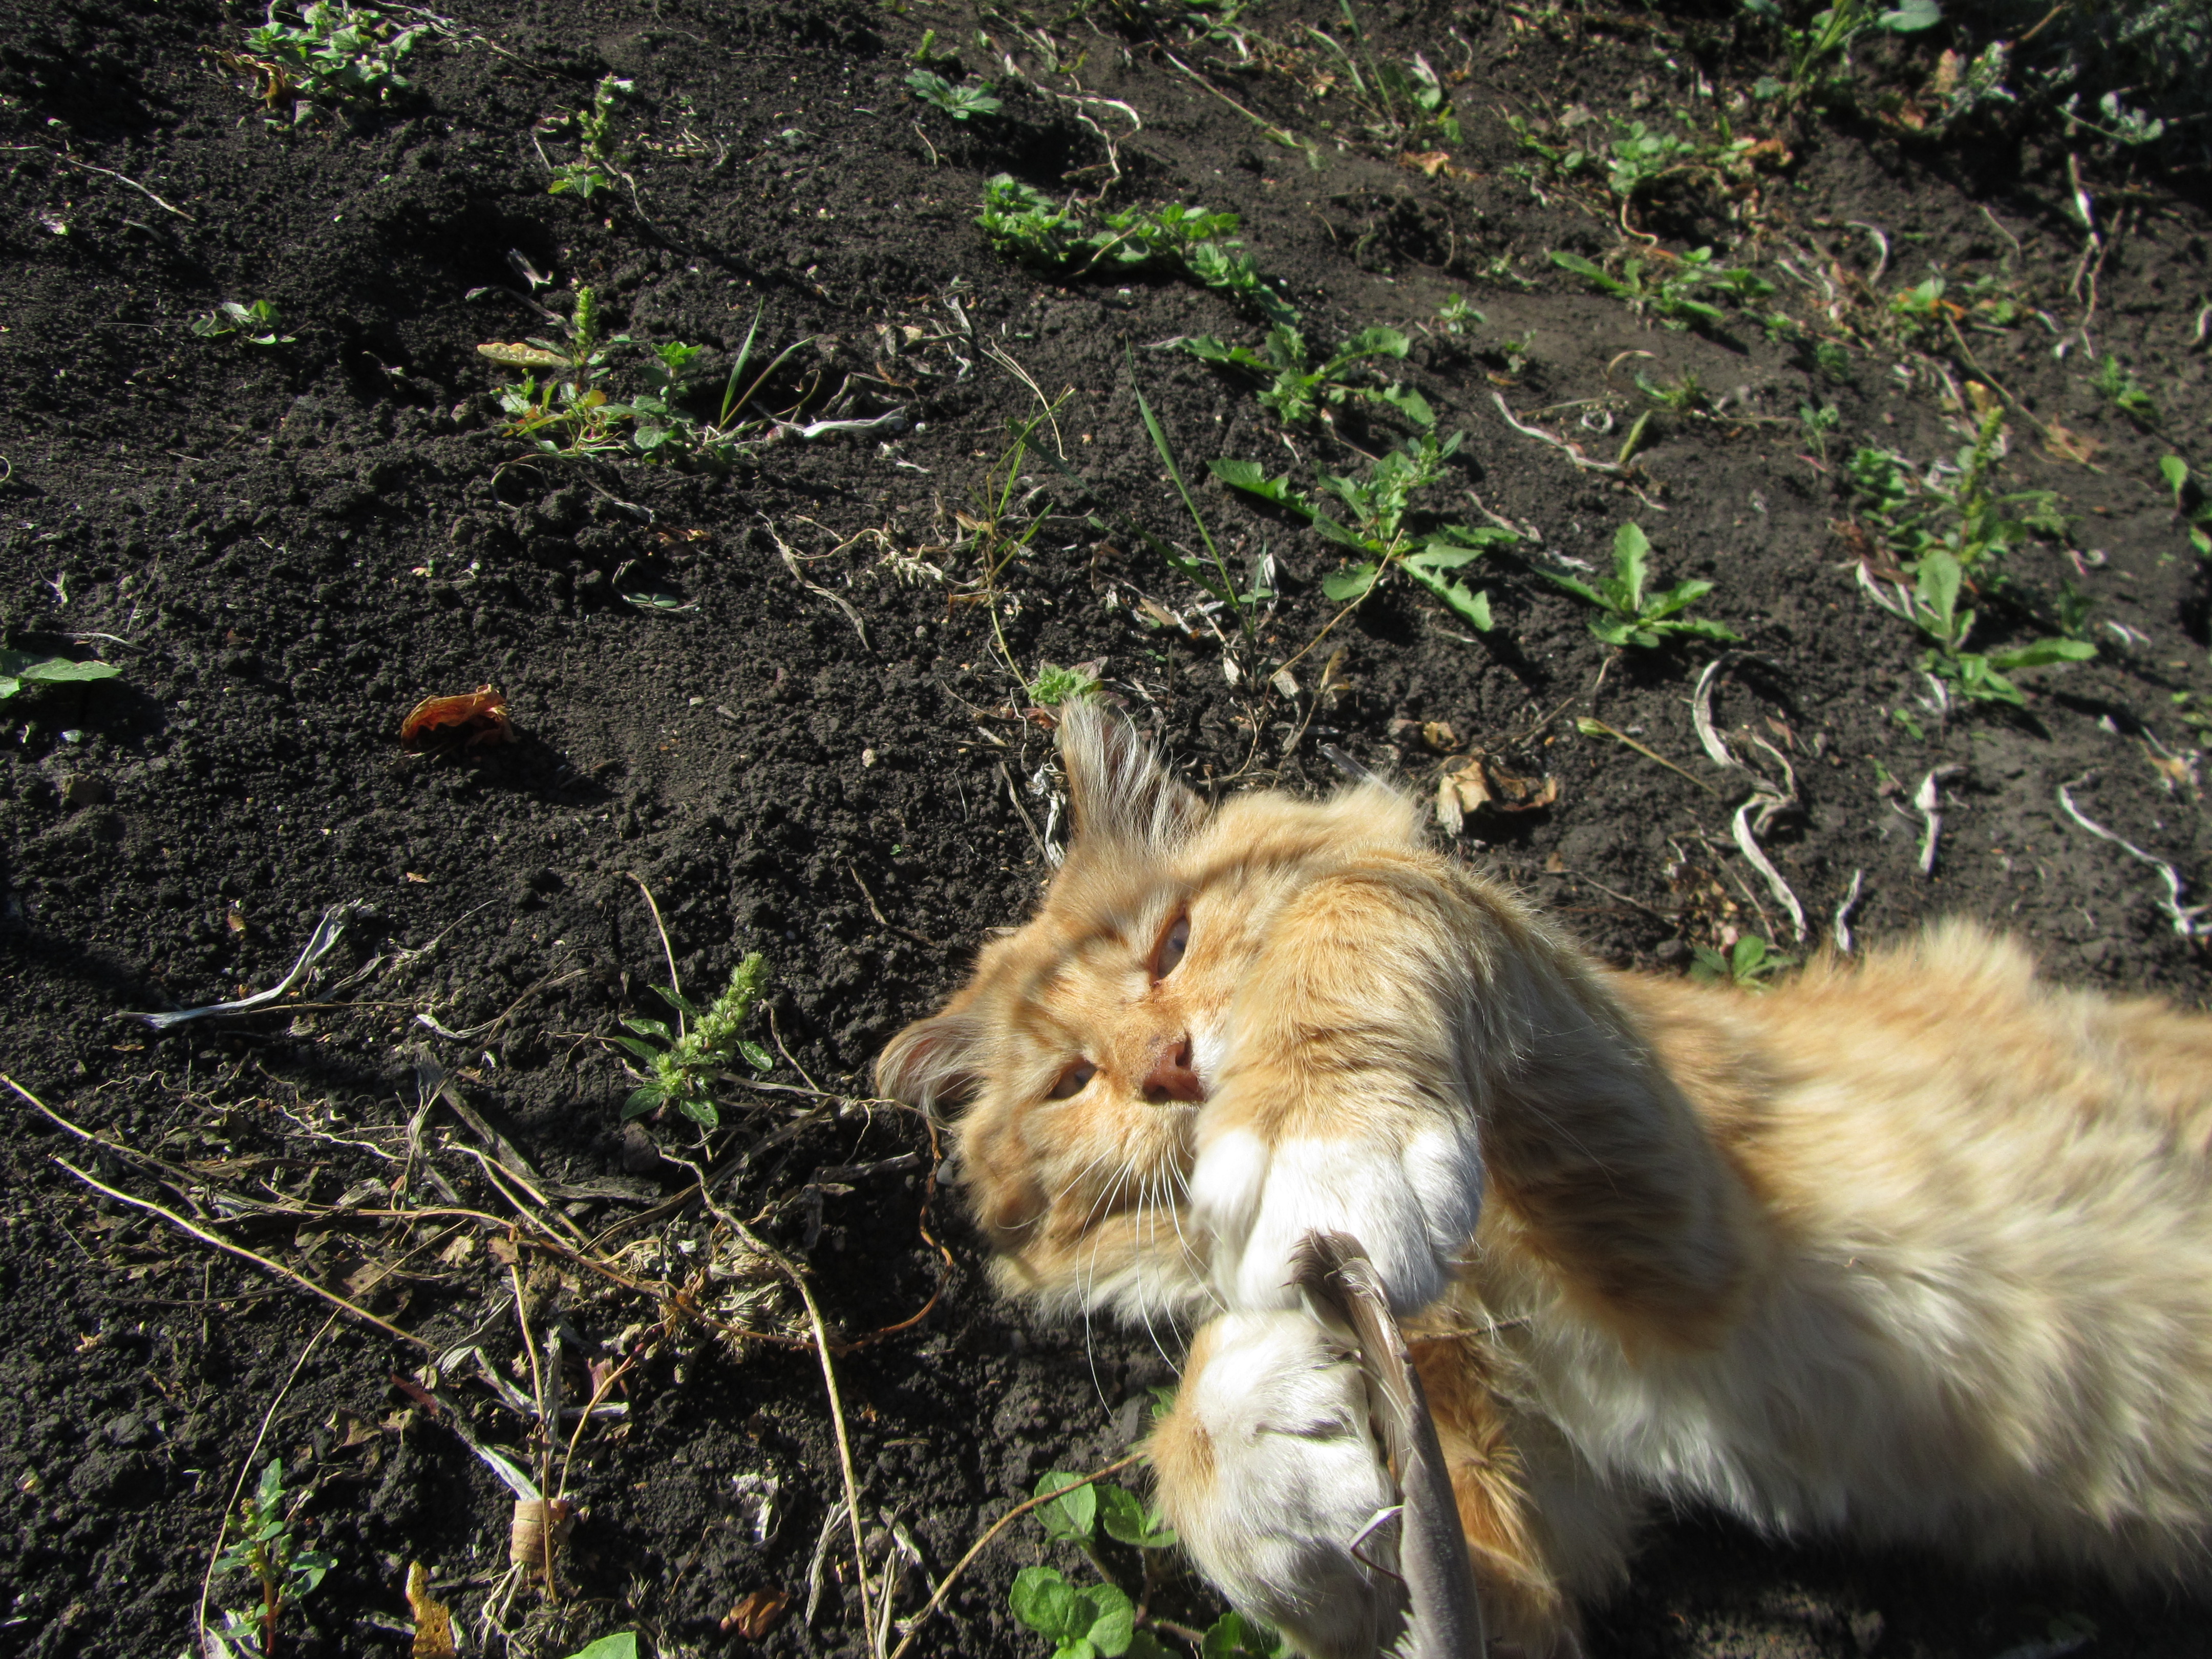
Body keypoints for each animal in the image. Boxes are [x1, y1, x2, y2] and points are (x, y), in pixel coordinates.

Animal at [871, 703, 2212, 1659]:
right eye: (1072, 1080)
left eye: (1175, 942)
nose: (1167, 1065)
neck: (1483, 1284)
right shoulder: (1532, 1536)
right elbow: (1242, 1488)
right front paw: (1267, 1450)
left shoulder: (1696, 1227)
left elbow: (1369, 895)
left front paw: (1321, 1121)